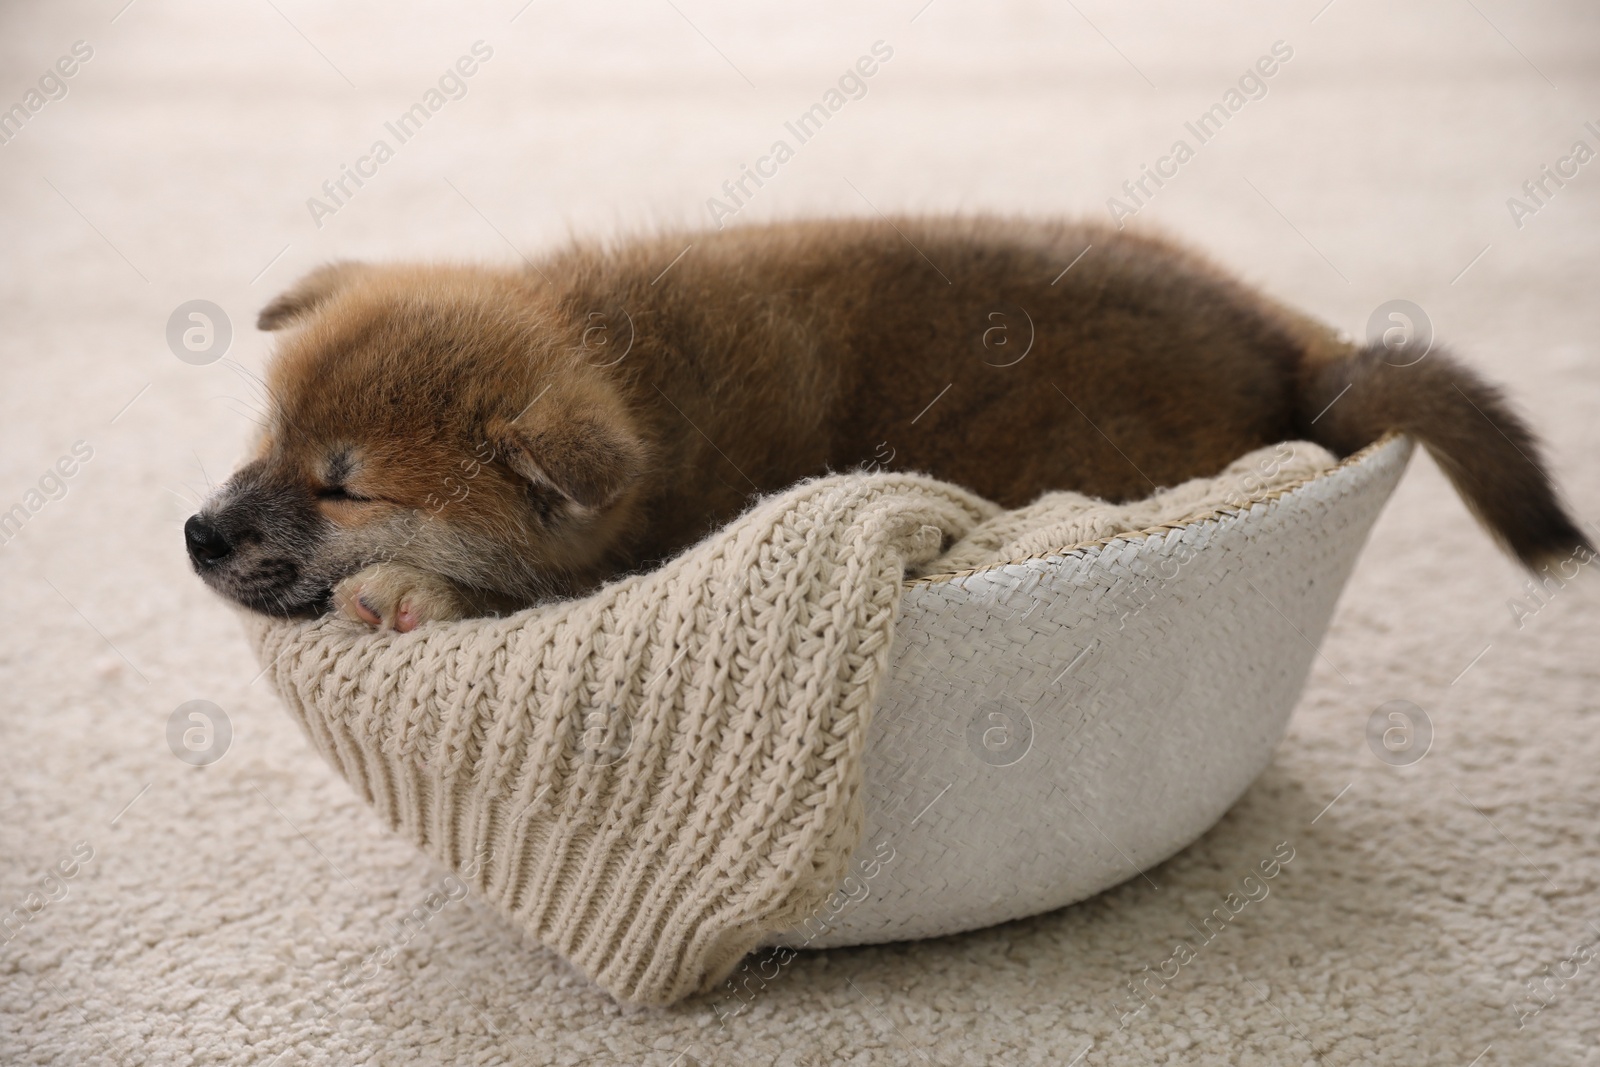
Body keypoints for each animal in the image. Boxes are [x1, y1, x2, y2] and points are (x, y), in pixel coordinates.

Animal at [184, 220, 1587, 630]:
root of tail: (1294, 353)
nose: (198, 532)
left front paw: (412, 593)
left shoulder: (639, 550)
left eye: (347, 486)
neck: (644, 379)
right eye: (268, 435)